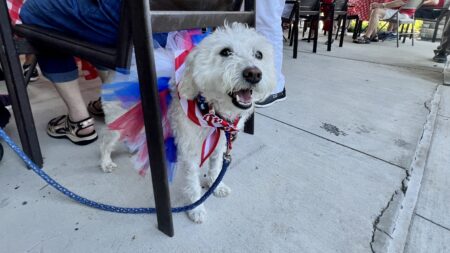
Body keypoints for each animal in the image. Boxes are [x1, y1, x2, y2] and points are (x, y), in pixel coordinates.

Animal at [99, 22, 274, 222]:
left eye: (259, 55)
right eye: (225, 52)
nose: (254, 73)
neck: (210, 113)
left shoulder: (219, 144)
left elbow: (215, 168)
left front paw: (216, 186)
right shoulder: (190, 152)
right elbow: (193, 182)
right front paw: (196, 208)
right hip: (116, 119)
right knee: (105, 140)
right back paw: (105, 162)